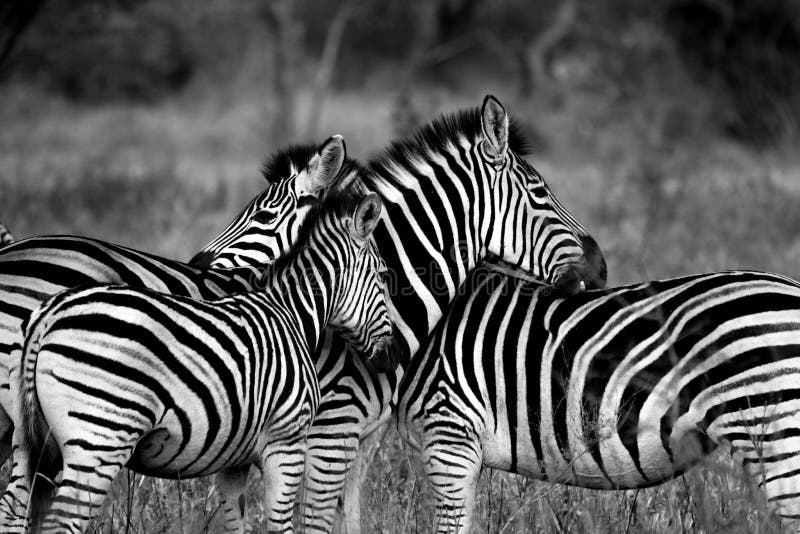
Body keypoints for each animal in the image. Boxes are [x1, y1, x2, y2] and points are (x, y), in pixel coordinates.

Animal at [191, 95, 609, 532]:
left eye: (263, 216)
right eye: (540, 192)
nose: (601, 266)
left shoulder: (355, 437)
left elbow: (347, 518)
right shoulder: (328, 429)